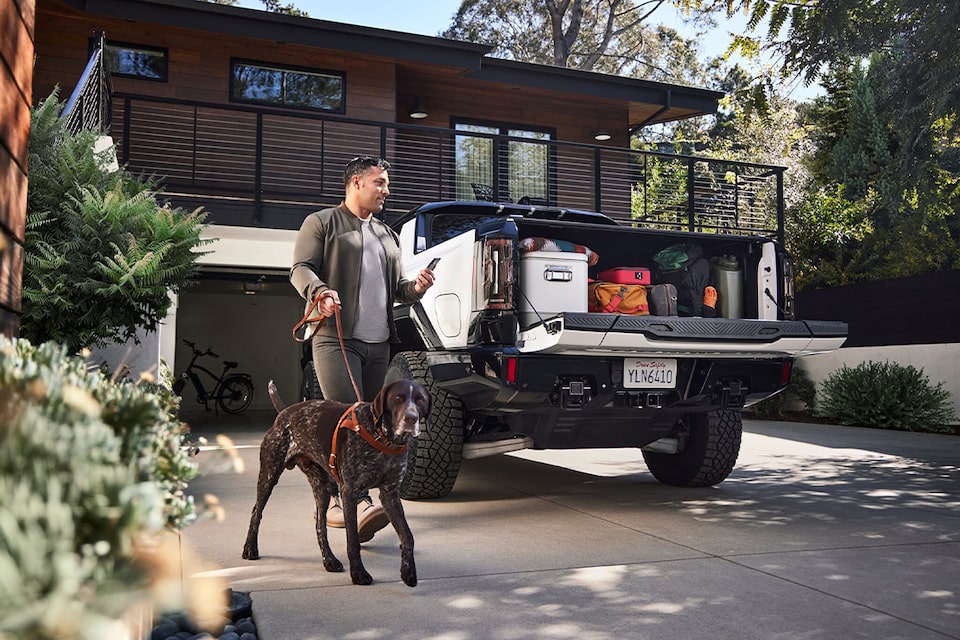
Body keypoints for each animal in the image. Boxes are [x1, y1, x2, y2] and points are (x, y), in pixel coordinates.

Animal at [242, 378, 430, 588]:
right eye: (398, 398)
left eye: (421, 399)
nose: (411, 418)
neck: (382, 438)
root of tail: (285, 413)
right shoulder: (349, 491)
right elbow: (353, 540)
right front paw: (358, 573)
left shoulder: (390, 495)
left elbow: (408, 536)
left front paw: (408, 571)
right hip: (269, 475)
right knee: (256, 512)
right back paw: (250, 548)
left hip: (321, 488)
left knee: (320, 525)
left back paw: (329, 560)